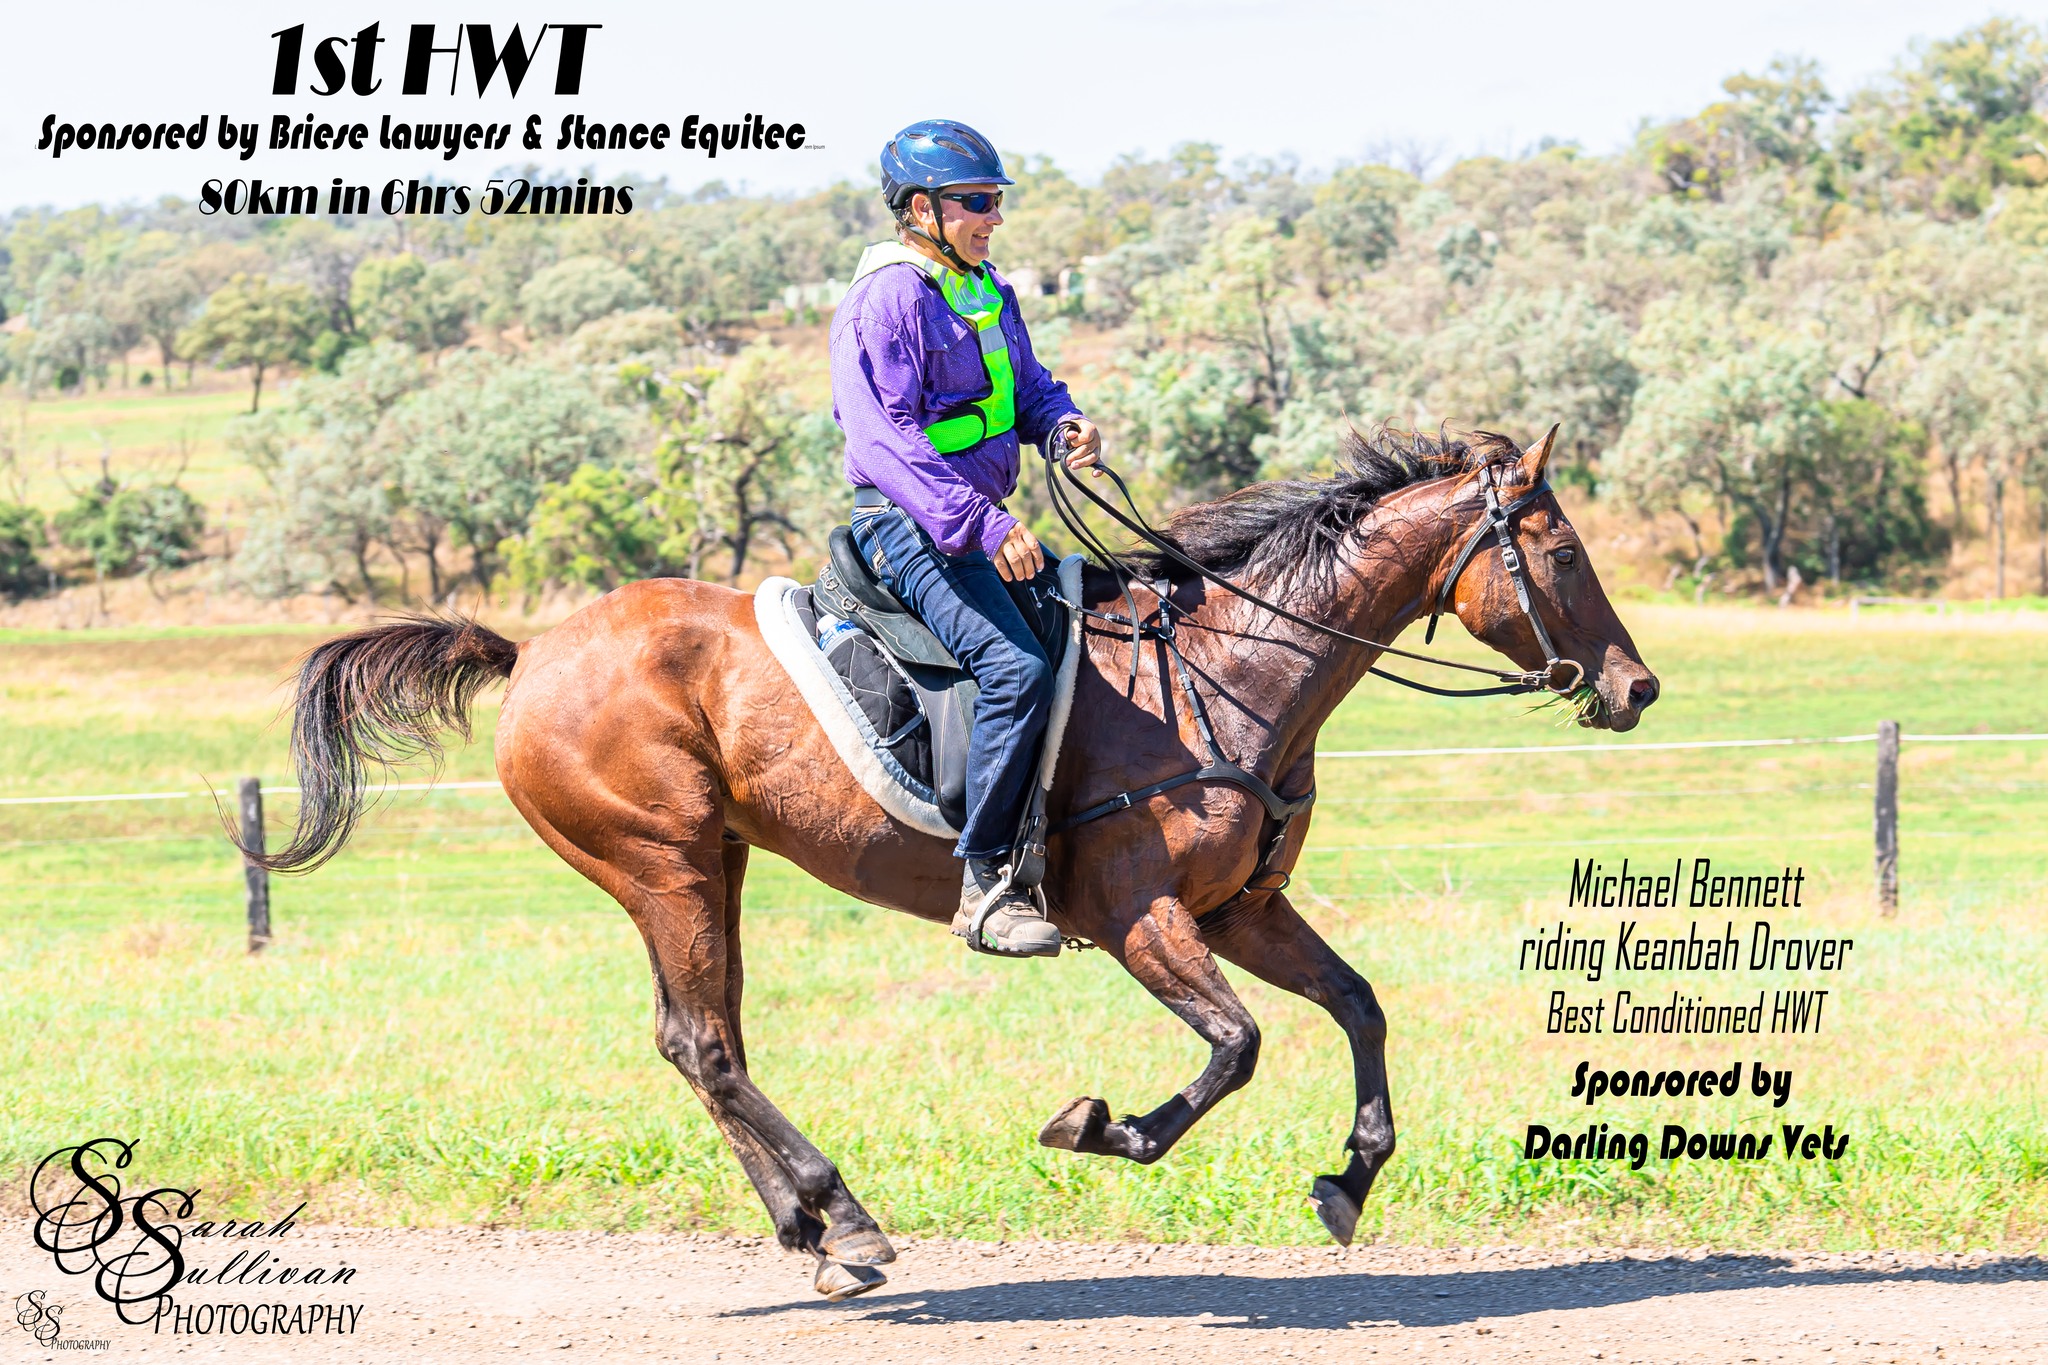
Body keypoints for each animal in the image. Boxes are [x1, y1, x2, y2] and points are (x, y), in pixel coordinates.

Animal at [248, 424, 1657, 1300]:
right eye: (1562, 552)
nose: (1636, 686)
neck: (1231, 669)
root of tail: (530, 650)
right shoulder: (1141, 917)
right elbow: (1234, 1048)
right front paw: (1104, 1127)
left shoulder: (1240, 911)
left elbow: (1355, 1007)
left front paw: (1349, 1176)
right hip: (665, 865)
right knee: (705, 1044)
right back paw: (842, 1214)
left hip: (711, 868)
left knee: (701, 1042)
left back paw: (813, 1229)